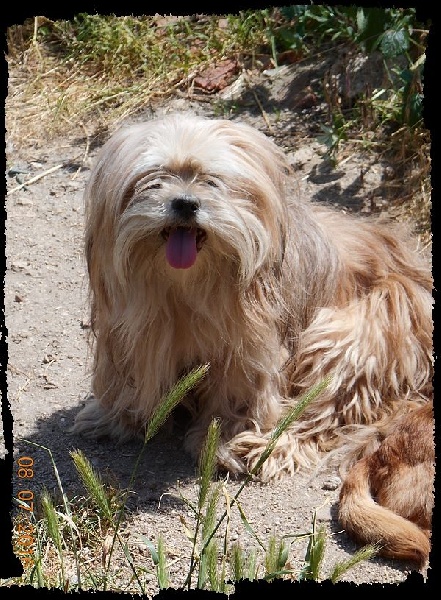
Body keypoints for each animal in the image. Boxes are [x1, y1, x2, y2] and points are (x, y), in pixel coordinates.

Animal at [74, 113, 432, 482]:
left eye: (212, 181)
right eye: (153, 180)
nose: (185, 203)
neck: (187, 285)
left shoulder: (246, 348)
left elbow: (239, 392)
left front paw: (223, 439)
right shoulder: (135, 329)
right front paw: (116, 417)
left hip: (354, 337)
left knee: (323, 410)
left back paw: (271, 447)